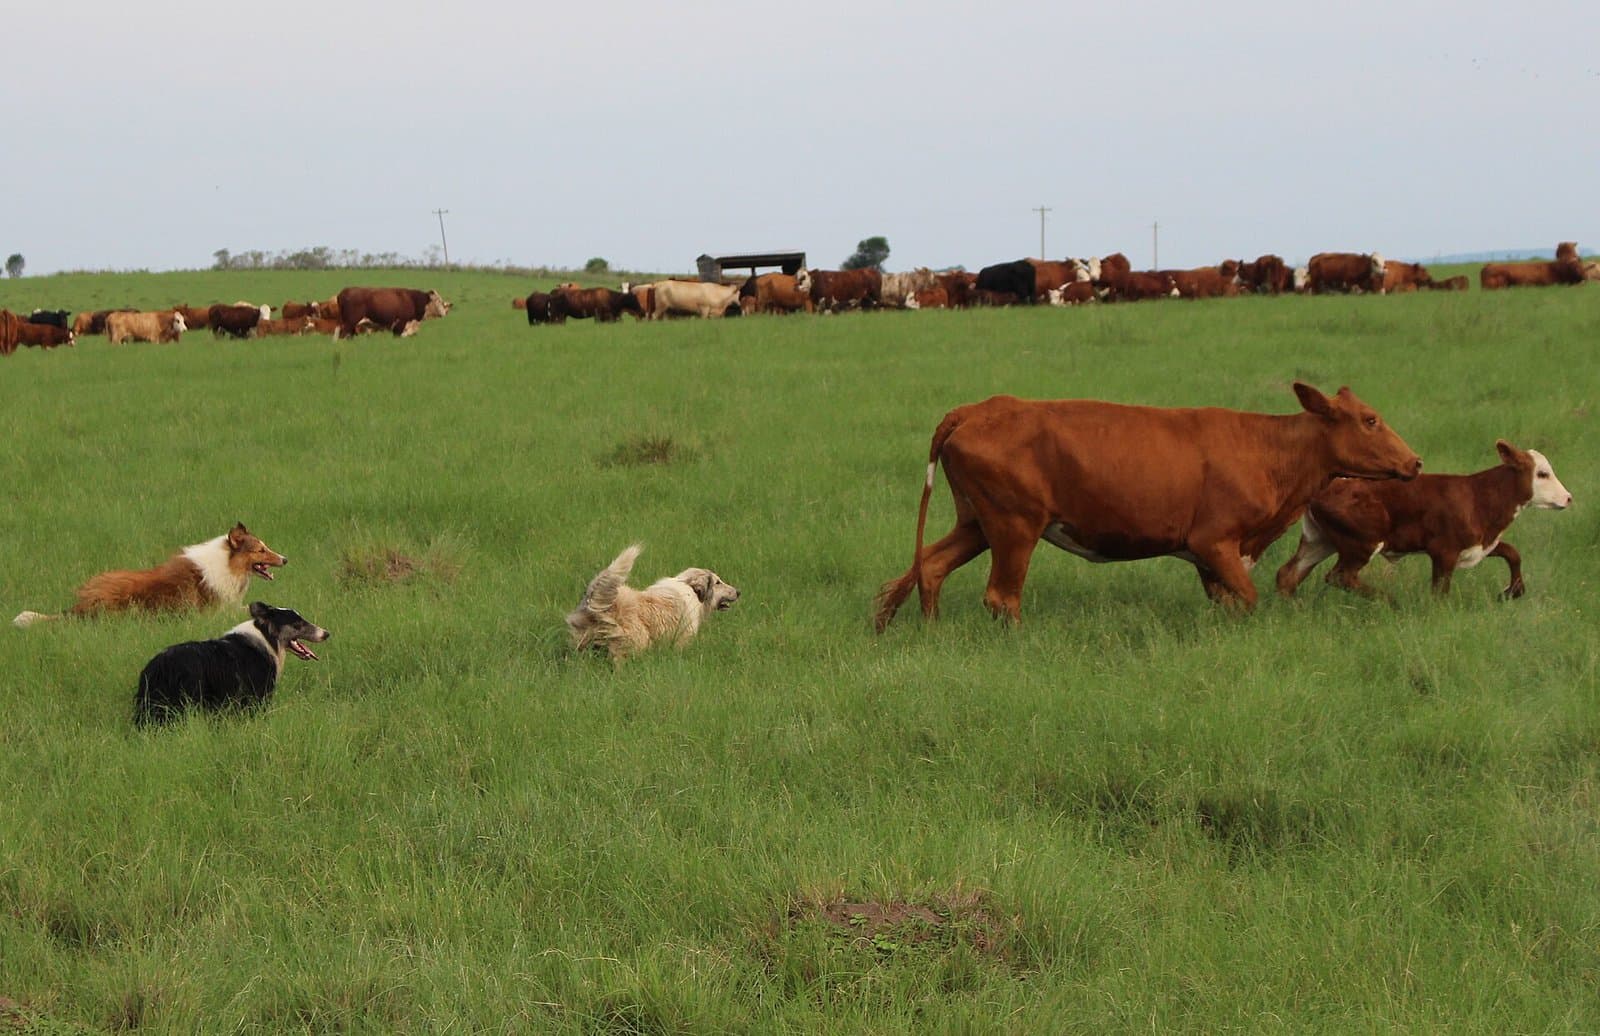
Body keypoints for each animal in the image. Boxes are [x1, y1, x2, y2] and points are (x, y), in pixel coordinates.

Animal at [871, 383, 1421, 628]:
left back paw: (934, 631)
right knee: (1002, 597)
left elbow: (1228, 600)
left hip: (978, 522)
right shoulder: (1214, 541)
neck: (1269, 450)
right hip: (1015, 526)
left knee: (932, 566)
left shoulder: (1211, 558)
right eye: (1370, 419)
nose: (1414, 462)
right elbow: (1247, 598)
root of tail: (976, 409)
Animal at [1277, 441, 1570, 600]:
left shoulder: (1478, 543)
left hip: (1319, 539)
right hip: (1362, 542)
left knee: (1288, 574)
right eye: (1542, 474)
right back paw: (1389, 601)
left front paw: (1511, 592)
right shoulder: (1444, 550)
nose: (1568, 498)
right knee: (1340, 576)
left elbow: (1513, 553)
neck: (1478, 496)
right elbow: (1440, 592)